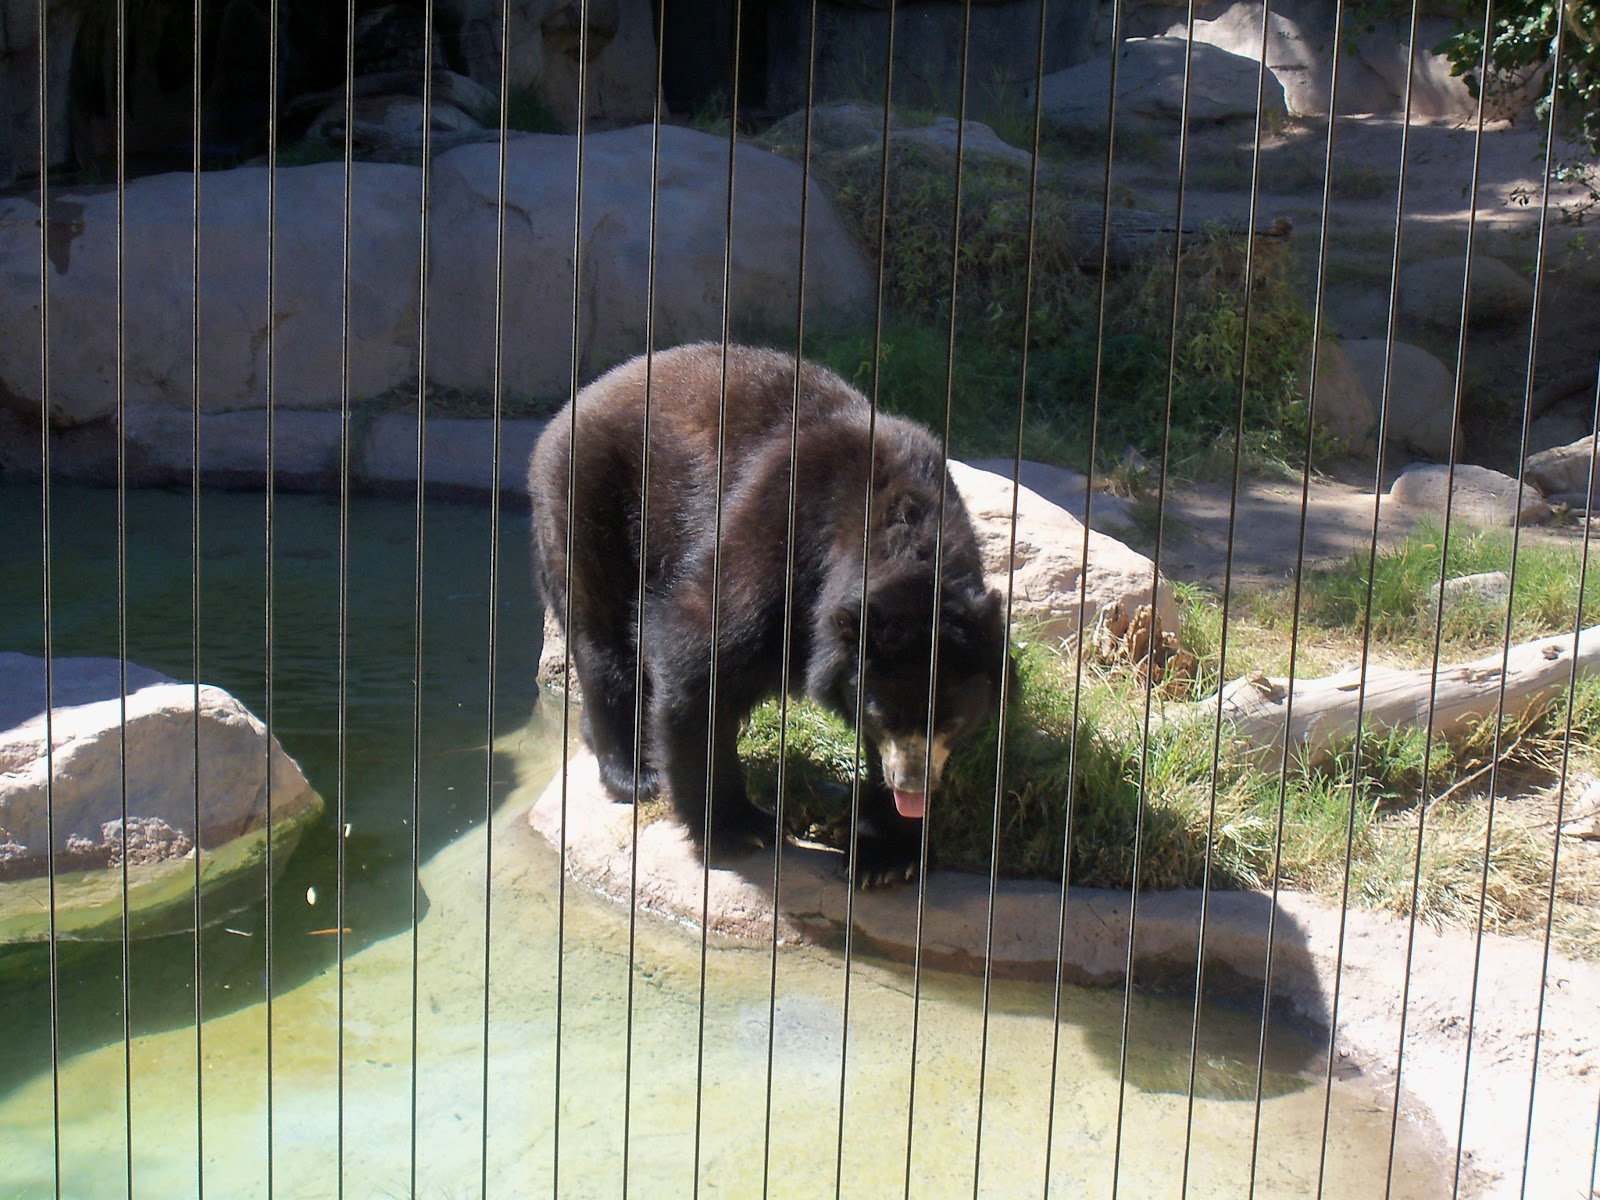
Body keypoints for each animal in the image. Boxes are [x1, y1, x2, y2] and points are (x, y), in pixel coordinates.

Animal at [529, 342, 1010, 888]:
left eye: (952, 720)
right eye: (881, 715)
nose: (911, 785)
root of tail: (576, 402)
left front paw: (885, 855)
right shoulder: (783, 532)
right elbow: (697, 647)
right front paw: (739, 827)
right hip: (596, 502)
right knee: (605, 638)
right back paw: (634, 773)